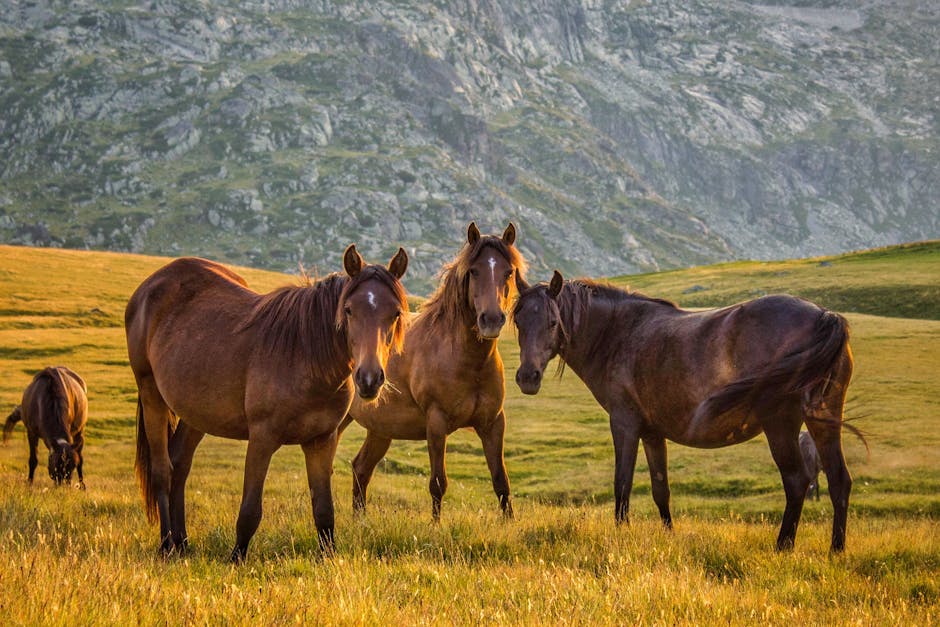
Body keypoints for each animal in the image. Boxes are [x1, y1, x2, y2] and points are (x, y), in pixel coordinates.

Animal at [125, 245, 408, 560]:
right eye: (348, 310)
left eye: (395, 313)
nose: (369, 379)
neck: (304, 355)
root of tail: (150, 285)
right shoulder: (262, 438)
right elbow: (250, 510)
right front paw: (236, 558)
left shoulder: (322, 441)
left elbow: (324, 510)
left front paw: (328, 557)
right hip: (151, 392)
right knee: (163, 471)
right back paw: (166, 545)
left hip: (195, 413)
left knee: (180, 465)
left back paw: (182, 542)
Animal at [340, 224, 528, 520]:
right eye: (474, 271)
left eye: (508, 272)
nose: (491, 319)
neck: (467, 361)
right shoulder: (436, 424)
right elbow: (438, 483)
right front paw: (435, 526)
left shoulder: (493, 423)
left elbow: (501, 481)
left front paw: (508, 523)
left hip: (380, 430)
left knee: (361, 468)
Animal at [516, 272, 860, 552]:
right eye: (518, 322)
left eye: (552, 322)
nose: (527, 377)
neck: (619, 334)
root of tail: (822, 315)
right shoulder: (652, 433)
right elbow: (660, 488)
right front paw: (669, 535)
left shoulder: (624, 423)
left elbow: (622, 482)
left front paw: (620, 532)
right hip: (822, 421)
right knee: (839, 481)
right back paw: (836, 549)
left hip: (781, 424)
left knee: (797, 480)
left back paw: (783, 546)